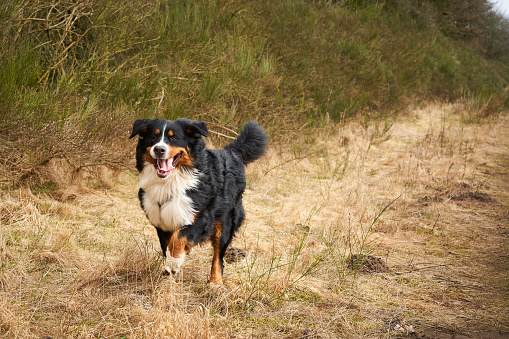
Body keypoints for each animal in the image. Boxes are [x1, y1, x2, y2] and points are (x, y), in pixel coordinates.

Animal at [129, 118, 268, 286]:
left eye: (174, 138)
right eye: (153, 137)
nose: (159, 149)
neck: (170, 181)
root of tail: (230, 152)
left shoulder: (202, 218)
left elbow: (178, 238)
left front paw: (173, 264)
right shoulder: (162, 220)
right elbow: (168, 244)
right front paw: (171, 265)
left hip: (226, 222)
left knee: (218, 257)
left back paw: (215, 283)